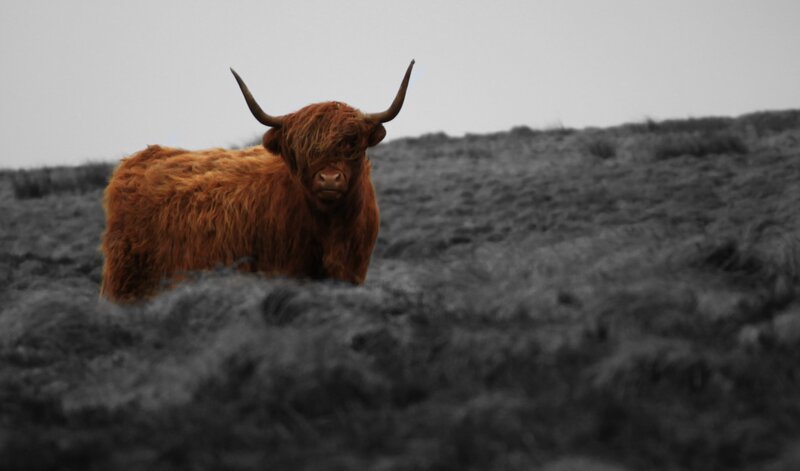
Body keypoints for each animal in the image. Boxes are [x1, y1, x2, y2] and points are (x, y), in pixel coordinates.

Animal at [100, 60, 414, 302]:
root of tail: (135, 160)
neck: (329, 229)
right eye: (298, 150)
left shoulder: (352, 273)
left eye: (353, 143)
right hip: (127, 282)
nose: (328, 178)